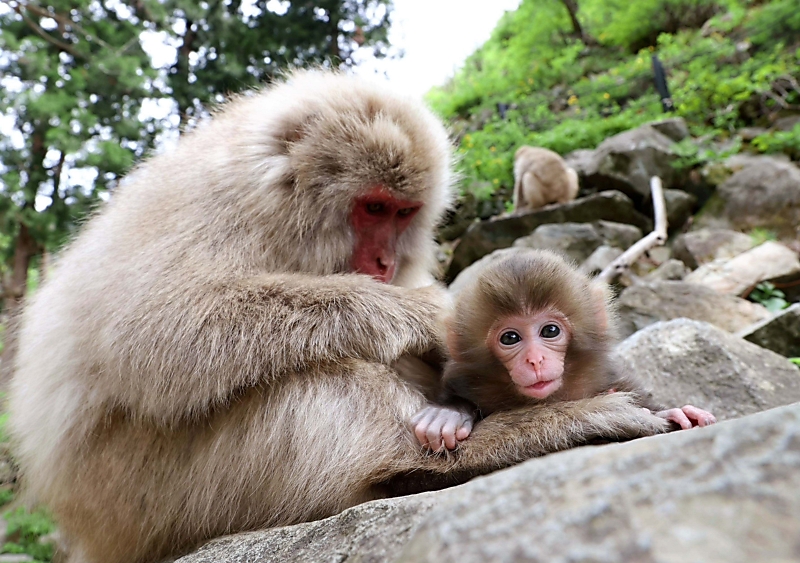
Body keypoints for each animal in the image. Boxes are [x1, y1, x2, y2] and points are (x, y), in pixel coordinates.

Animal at [9, 71, 669, 563]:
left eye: (403, 213)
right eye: (372, 207)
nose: (383, 262)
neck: (276, 207)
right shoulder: (216, 206)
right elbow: (153, 331)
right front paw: (419, 311)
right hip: (152, 492)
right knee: (310, 381)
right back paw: (467, 453)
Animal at [412, 248, 716, 452]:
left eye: (550, 331)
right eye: (510, 338)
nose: (535, 360)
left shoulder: (607, 372)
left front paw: (674, 413)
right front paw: (448, 414)